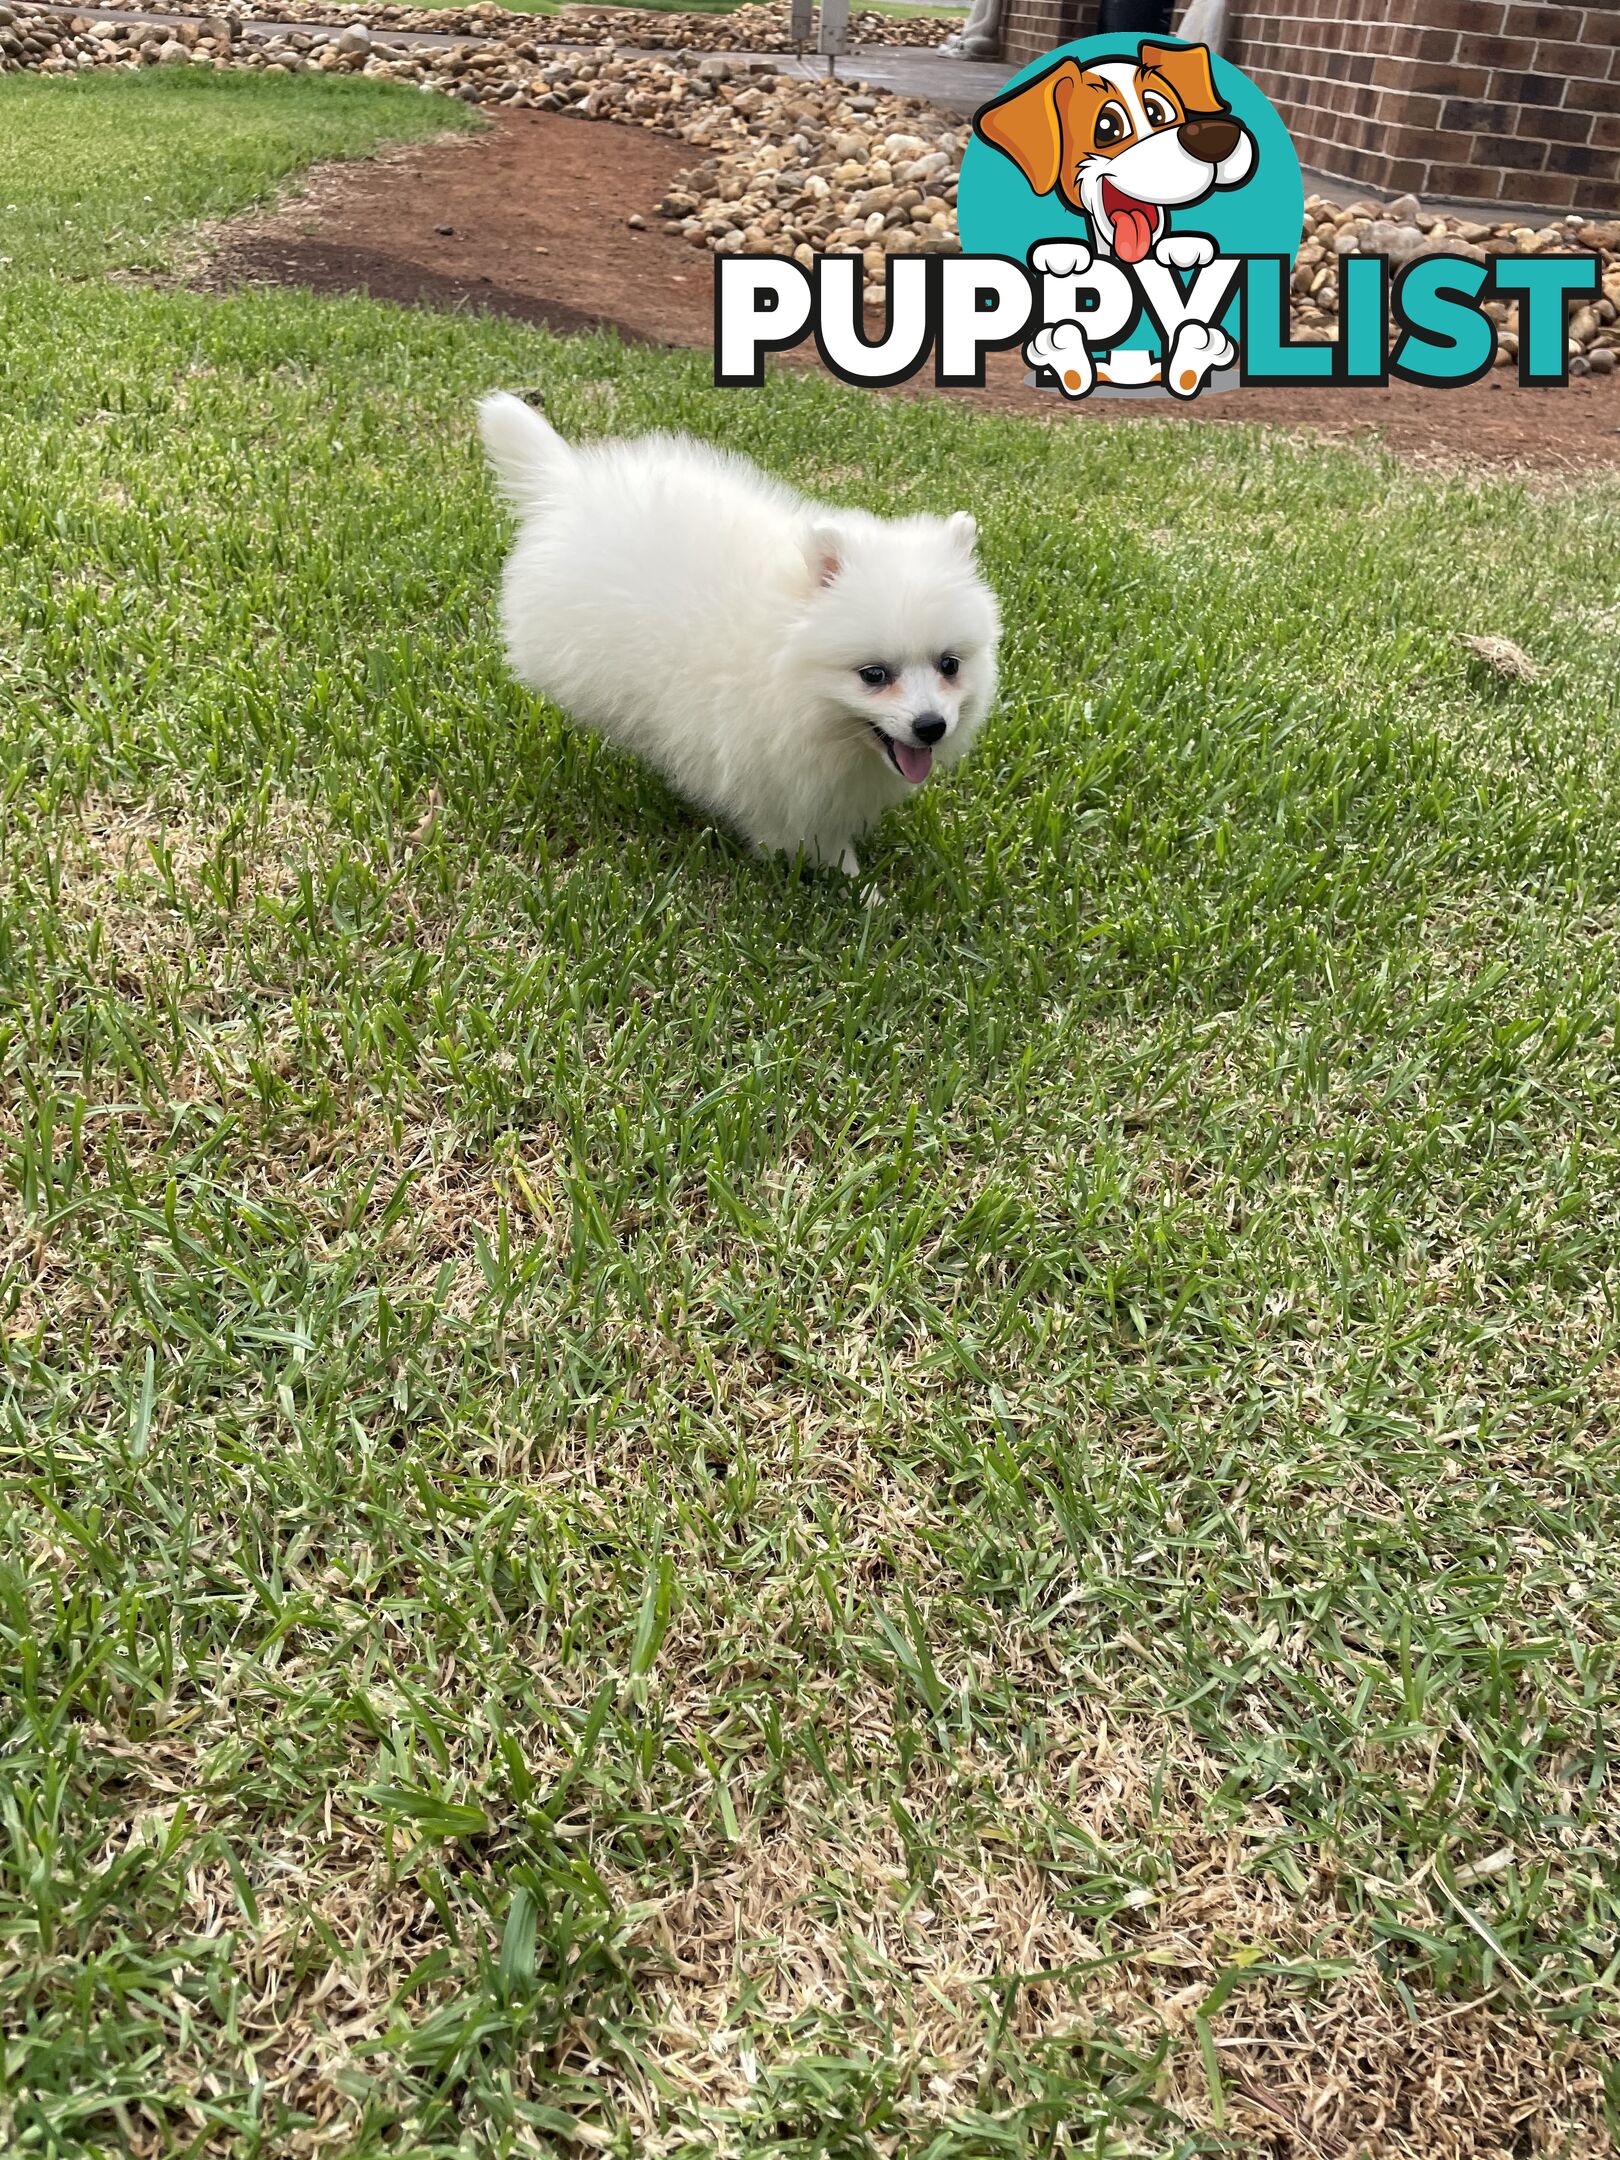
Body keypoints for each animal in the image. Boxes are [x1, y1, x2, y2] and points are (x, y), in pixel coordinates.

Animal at [475, 397, 1002, 876]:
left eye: (949, 665)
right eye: (873, 675)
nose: (931, 726)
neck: (785, 669)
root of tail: (566, 482)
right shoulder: (769, 771)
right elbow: (804, 836)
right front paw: (850, 881)